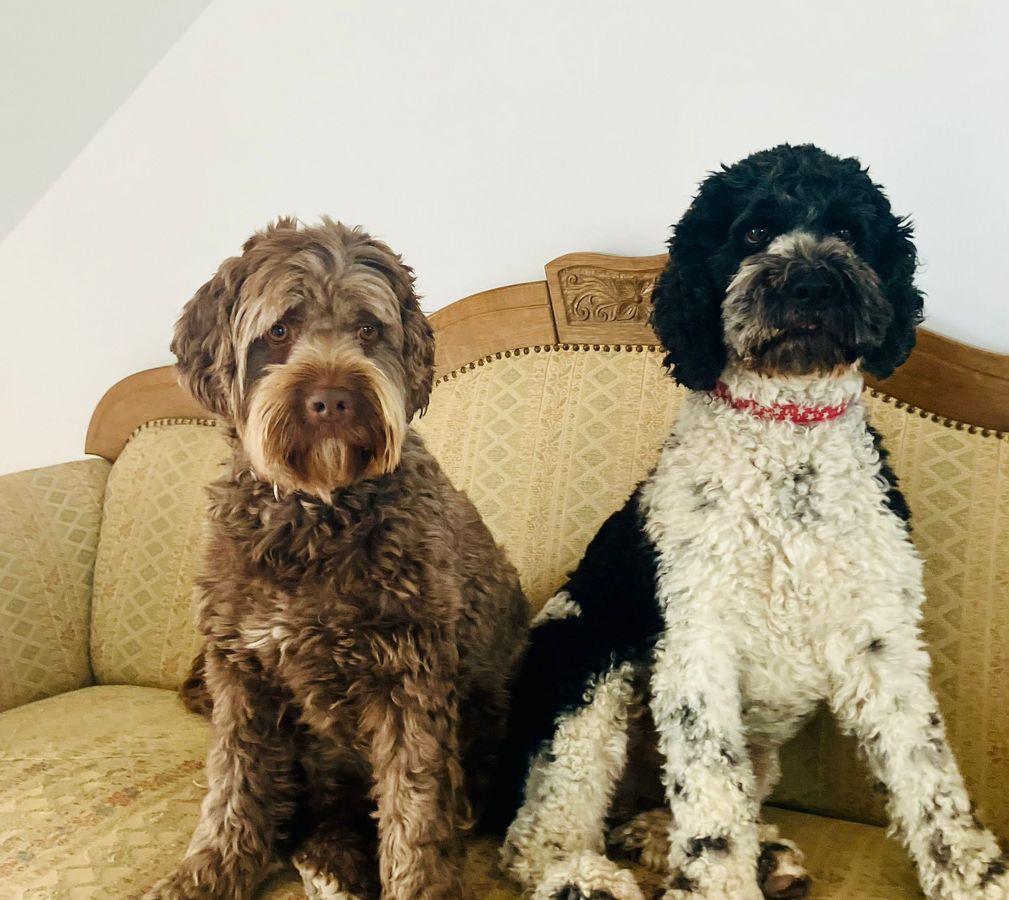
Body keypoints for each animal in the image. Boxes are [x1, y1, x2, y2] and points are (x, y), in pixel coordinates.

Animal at [490, 146, 1008, 900]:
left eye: (848, 232)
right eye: (754, 233)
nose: (813, 285)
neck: (788, 443)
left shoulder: (882, 643)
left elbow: (929, 775)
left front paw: (972, 874)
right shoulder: (696, 649)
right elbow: (711, 801)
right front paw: (718, 885)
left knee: (665, 814)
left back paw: (729, 851)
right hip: (585, 663)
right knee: (537, 834)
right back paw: (583, 878)